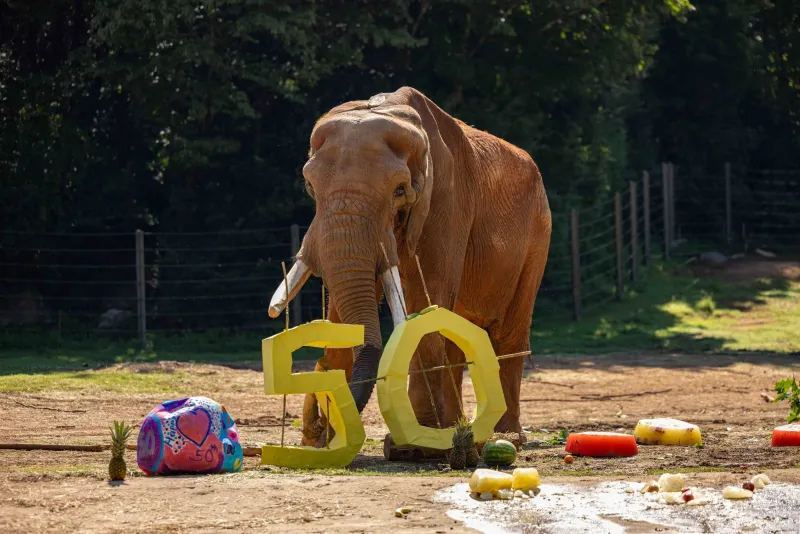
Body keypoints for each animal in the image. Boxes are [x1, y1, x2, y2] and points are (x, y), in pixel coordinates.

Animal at [268, 86, 551, 453]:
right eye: (310, 187)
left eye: (400, 190)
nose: (316, 420)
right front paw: (323, 439)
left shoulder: (447, 201)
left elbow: (426, 301)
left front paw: (418, 447)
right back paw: (461, 430)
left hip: (538, 232)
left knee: (508, 332)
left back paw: (505, 437)